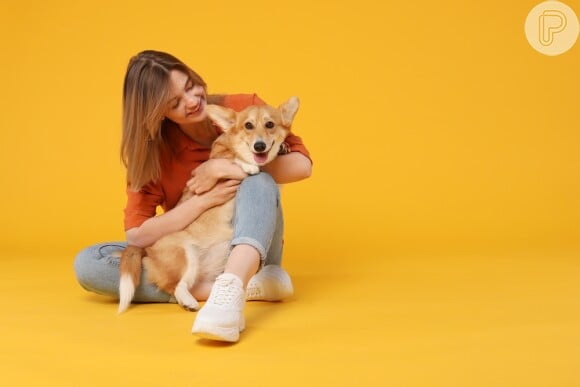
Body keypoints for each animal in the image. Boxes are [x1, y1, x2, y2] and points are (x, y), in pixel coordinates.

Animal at [117, 97, 300, 316]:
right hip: (185, 255)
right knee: (176, 286)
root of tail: (146, 250)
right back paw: (189, 302)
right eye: (248, 125)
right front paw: (247, 165)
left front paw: (282, 148)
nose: (259, 146)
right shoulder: (219, 158)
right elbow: (232, 160)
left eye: (270, 124)